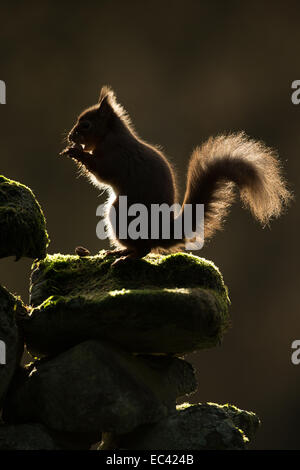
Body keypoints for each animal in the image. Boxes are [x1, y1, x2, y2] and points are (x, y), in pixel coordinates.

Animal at [59, 86, 292, 262]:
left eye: (86, 125)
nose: (70, 136)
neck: (110, 134)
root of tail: (163, 232)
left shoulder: (115, 156)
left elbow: (101, 173)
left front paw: (77, 152)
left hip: (122, 215)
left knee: (144, 249)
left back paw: (126, 257)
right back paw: (119, 251)